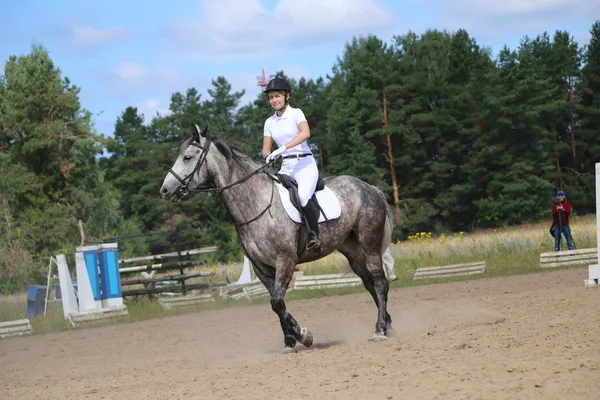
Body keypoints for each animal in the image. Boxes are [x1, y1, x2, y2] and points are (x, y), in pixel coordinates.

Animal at [159, 125, 394, 354]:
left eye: (187, 157)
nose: (164, 190)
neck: (255, 204)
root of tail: (369, 187)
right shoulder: (261, 267)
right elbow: (277, 304)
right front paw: (289, 342)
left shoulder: (285, 261)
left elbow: (277, 302)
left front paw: (303, 335)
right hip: (351, 250)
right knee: (369, 282)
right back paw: (387, 324)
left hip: (369, 243)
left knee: (380, 281)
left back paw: (380, 330)